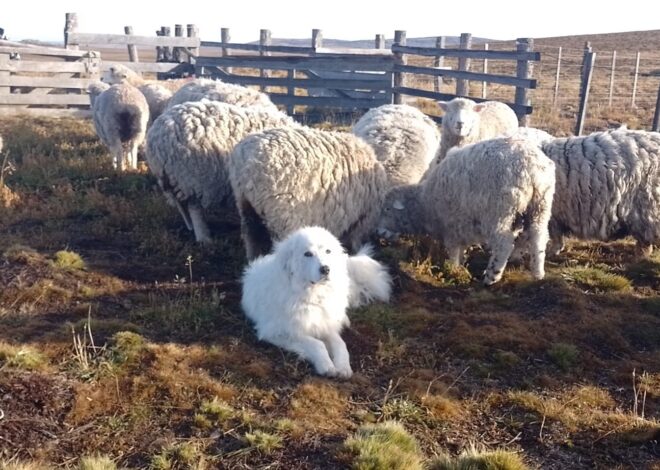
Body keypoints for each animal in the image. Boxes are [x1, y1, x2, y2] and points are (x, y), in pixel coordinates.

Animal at [145, 100, 297, 244]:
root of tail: (156, 139)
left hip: (175, 180)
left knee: (183, 206)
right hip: (191, 176)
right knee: (195, 209)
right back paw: (204, 238)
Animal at [378, 137, 556, 285]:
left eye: (387, 209)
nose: (379, 232)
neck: (425, 204)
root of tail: (532, 169)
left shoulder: (451, 226)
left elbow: (453, 250)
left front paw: (453, 268)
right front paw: (462, 264)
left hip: (499, 213)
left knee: (503, 244)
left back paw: (492, 276)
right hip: (541, 206)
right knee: (539, 237)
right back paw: (538, 273)